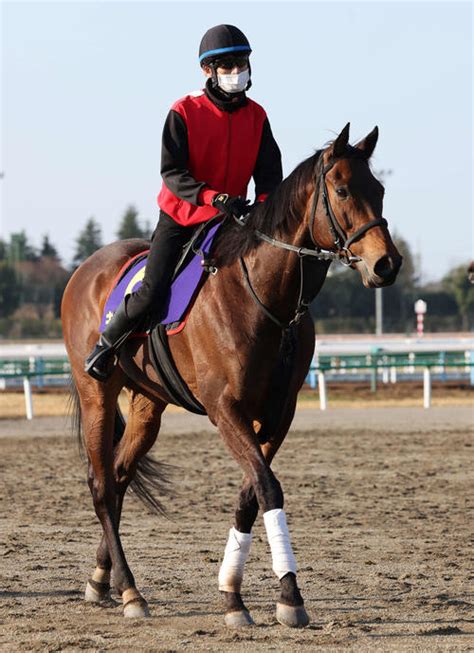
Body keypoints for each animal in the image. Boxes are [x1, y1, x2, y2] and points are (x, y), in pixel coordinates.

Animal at [61, 122, 402, 628]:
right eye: (342, 189)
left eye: (378, 189)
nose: (387, 264)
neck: (261, 293)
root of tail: (85, 269)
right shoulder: (226, 409)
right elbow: (267, 487)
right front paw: (287, 594)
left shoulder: (277, 415)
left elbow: (250, 494)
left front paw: (234, 592)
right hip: (96, 393)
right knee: (102, 485)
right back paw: (130, 591)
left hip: (148, 403)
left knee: (120, 476)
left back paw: (103, 579)